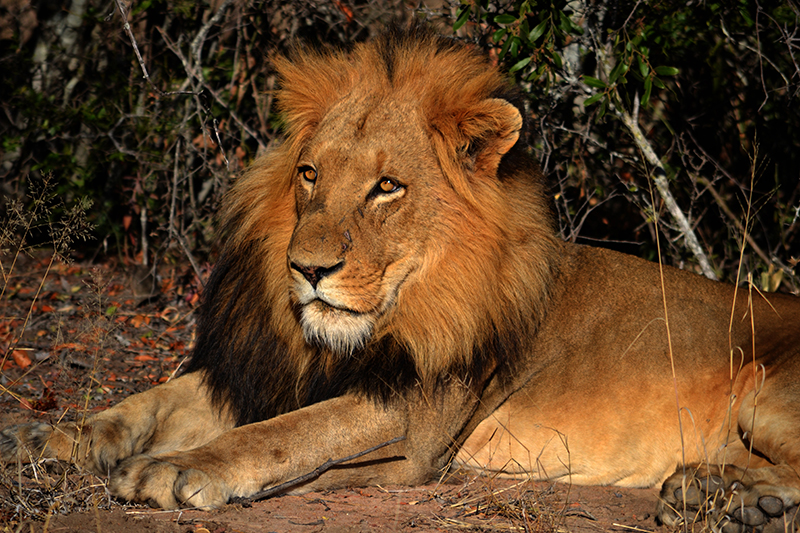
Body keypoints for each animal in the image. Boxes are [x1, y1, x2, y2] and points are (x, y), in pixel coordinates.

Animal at [1, 22, 800, 528]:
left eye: (387, 188)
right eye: (310, 174)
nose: (307, 269)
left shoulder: (416, 420)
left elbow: (287, 434)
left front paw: (175, 469)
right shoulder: (268, 369)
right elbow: (148, 402)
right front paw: (51, 439)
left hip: (765, 393)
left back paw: (725, 500)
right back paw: (721, 496)